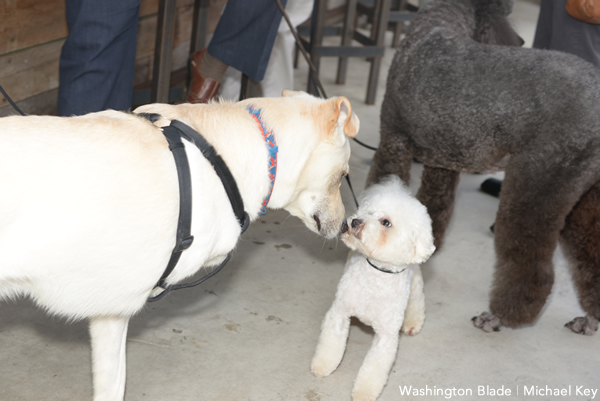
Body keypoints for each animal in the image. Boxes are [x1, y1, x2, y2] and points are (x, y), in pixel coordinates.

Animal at [312, 175, 434, 400]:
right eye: (368, 212)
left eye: (386, 222)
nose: (355, 221)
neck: (376, 276)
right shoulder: (340, 314)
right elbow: (330, 343)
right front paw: (323, 365)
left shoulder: (385, 338)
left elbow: (373, 368)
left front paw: (364, 392)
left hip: (415, 283)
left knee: (417, 302)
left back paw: (413, 323)